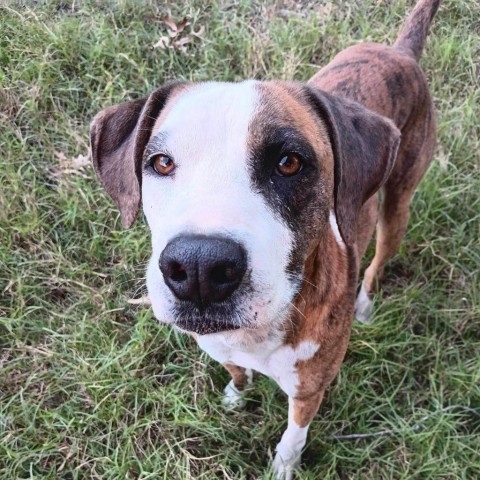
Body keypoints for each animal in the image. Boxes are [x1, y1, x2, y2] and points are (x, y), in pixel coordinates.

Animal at [89, 1, 438, 478]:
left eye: (289, 163)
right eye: (161, 162)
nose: (199, 267)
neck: (256, 335)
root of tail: (400, 52)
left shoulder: (309, 391)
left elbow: (293, 437)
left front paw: (283, 466)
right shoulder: (218, 347)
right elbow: (236, 372)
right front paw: (237, 394)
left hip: (397, 206)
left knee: (379, 257)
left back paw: (366, 303)